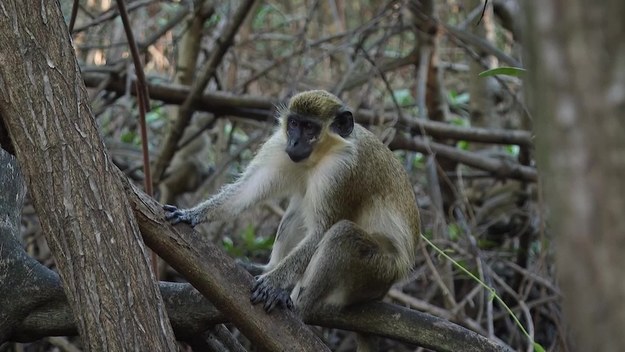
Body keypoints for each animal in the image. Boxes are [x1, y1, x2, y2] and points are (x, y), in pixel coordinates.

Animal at [166, 90, 420, 350]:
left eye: (309, 128)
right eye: (294, 124)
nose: (294, 142)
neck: (324, 153)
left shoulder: (342, 171)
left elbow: (322, 231)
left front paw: (273, 283)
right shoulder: (279, 144)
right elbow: (248, 188)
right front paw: (192, 214)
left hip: (378, 273)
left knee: (342, 235)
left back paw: (295, 305)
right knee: (298, 209)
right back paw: (268, 268)